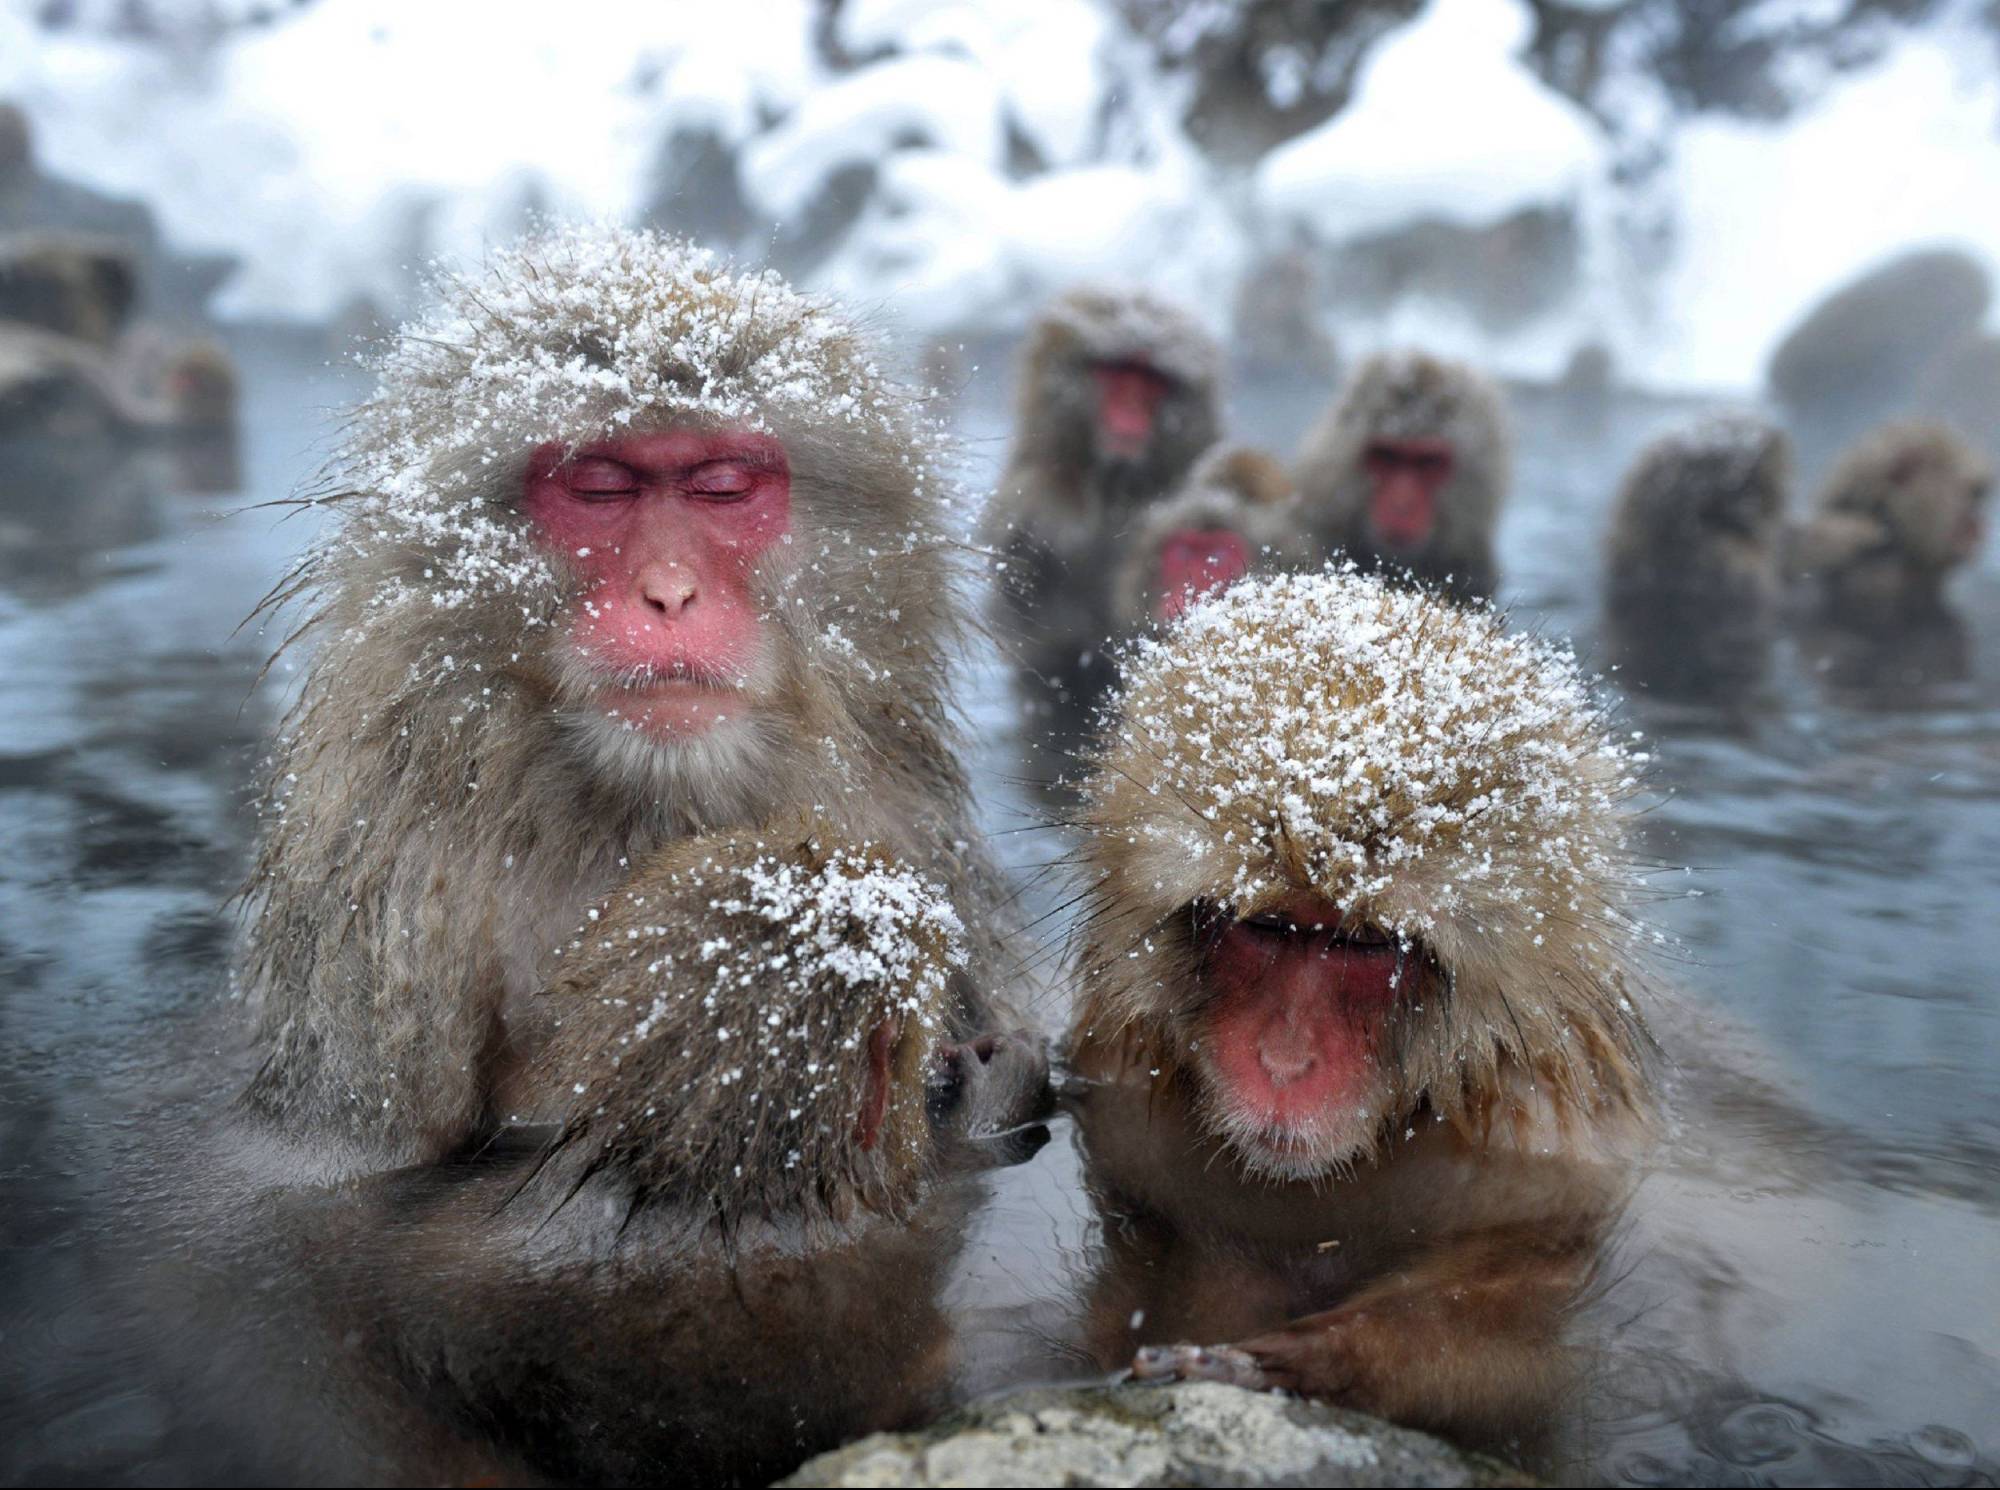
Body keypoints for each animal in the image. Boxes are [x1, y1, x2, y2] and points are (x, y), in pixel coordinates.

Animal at [1062, 566, 1654, 1460]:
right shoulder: (1119, 1070)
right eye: (1268, 929)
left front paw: (1307, 1360)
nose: (1285, 1061)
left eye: (1363, 945)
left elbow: (1526, 1336)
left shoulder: (1553, 1143)